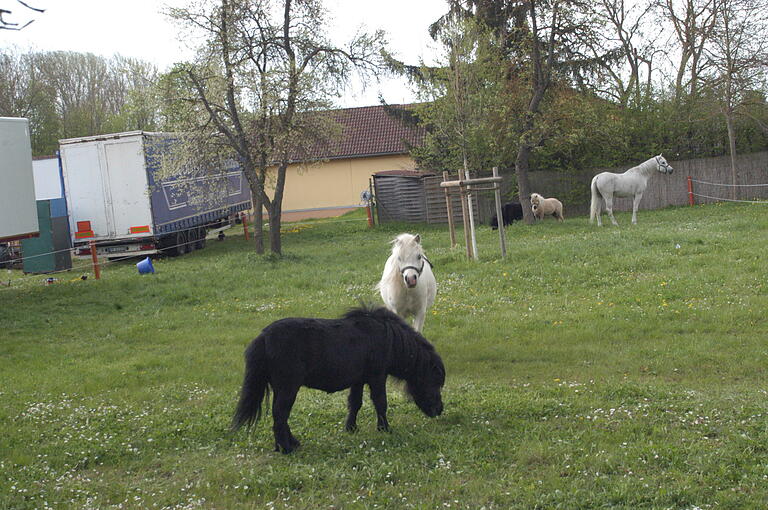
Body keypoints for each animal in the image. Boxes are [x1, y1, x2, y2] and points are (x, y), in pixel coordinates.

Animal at [230, 304, 444, 452]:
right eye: (435, 382)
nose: (439, 410)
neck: (387, 338)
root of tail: (263, 337)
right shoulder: (377, 377)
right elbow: (381, 403)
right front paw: (384, 429)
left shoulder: (358, 380)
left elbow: (355, 403)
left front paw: (351, 428)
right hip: (288, 388)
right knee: (280, 415)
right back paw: (287, 448)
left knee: (280, 416)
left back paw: (290, 444)